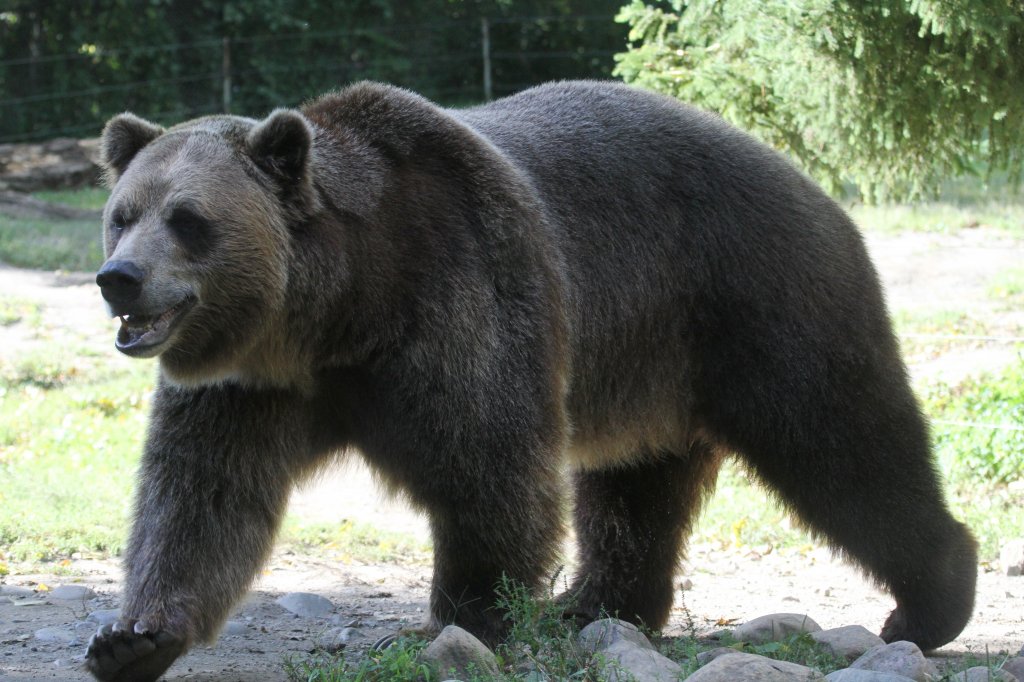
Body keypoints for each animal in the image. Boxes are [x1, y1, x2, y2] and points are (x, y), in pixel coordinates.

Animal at [86, 80, 974, 679]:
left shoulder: (457, 297)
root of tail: (801, 174)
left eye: (188, 219)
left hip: (752, 295)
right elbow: (202, 498)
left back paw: (931, 599)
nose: (119, 279)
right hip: (649, 364)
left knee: (841, 441)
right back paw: (597, 603)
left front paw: (461, 618)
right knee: (633, 488)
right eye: (123, 213)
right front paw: (133, 638)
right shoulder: (249, 387)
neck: (335, 311)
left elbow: (490, 469)